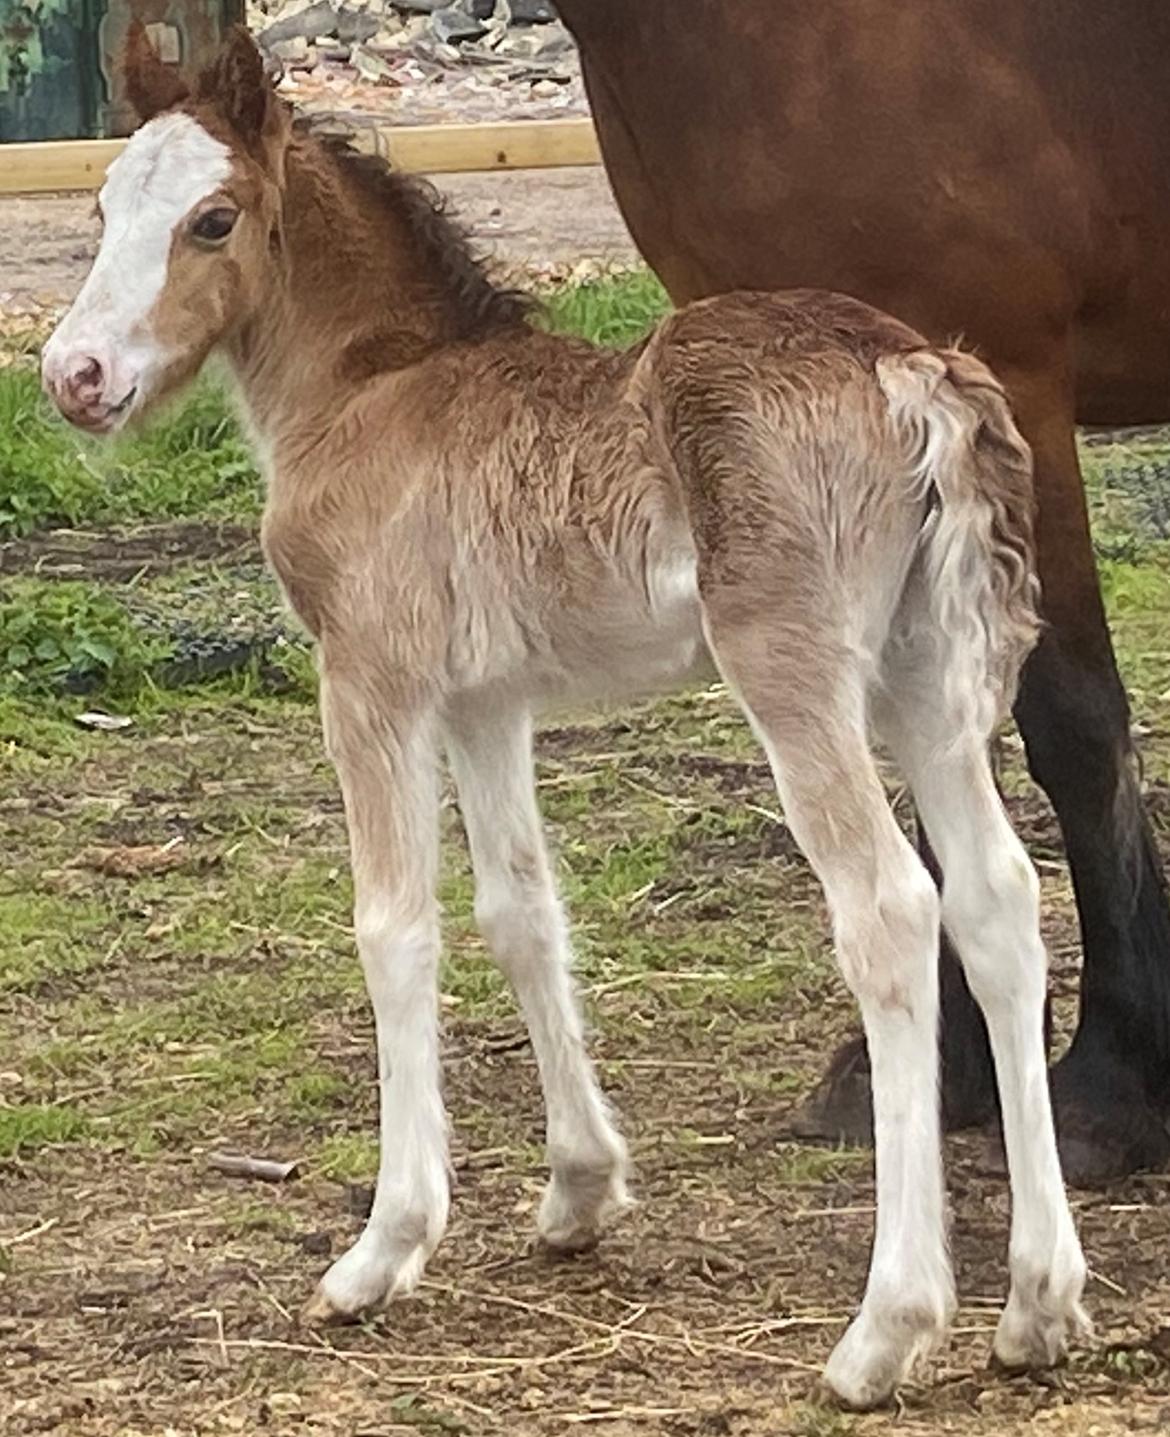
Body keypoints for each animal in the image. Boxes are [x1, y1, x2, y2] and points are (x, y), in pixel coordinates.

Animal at [41, 28, 1092, 1408]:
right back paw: (1039, 1304)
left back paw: (887, 1329)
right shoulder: (489, 701)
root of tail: (910, 367)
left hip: (797, 671)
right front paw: (582, 1188)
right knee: (997, 901)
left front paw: (384, 1247)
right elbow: (521, 911)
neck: (375, 386)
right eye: (104, 208)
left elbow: (395, 930)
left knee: (890, 911)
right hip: (926, 674)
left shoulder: (371, 681)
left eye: (212, 220)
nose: (74, 377)